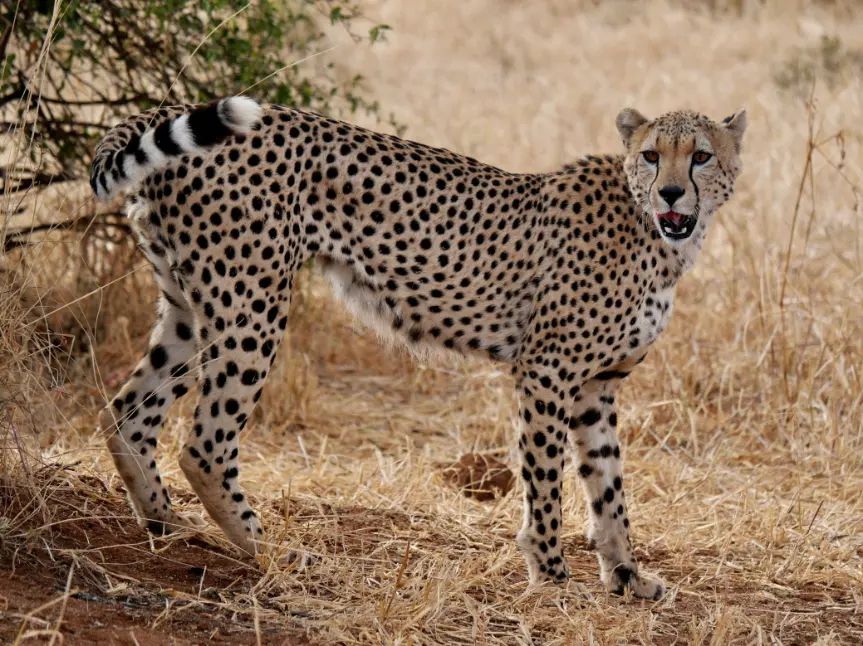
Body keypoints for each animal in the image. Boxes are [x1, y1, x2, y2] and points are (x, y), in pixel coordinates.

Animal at [89, 96, 746, 600]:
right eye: (651, 155)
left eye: (701, 157)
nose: (671, 194)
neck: (657, 234)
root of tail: (165, 107)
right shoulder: (547, 371)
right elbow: (545, 480)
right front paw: (551, 574)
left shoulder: (596, 386)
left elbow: (609, 488)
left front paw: (628, 577)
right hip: (250, 305)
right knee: (204, 443)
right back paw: (271, 549)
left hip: (189, 308)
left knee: (127, 412)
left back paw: (167, 524)